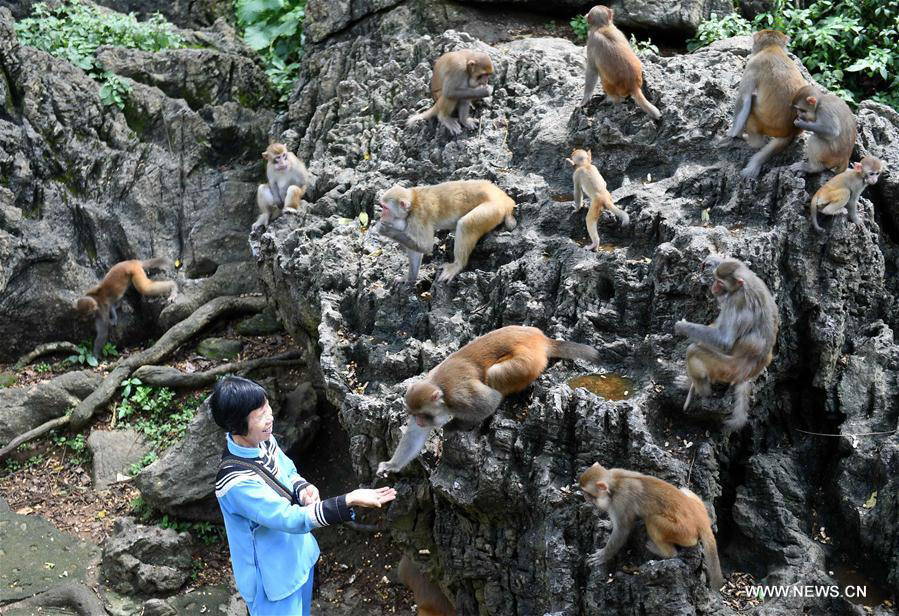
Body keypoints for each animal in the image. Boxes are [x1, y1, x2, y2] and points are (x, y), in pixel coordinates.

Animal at [372, 180, 516, 283]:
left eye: (385, 208)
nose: (381, 216)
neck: (413, 202)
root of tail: (505, 199)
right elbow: (416, 251)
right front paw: (409, 278)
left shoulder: (419, 217)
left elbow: (425, 246)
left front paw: (385, 230)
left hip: (493, 209)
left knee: (466, 224)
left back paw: (457, 265)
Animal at [376, 326, 599, 476]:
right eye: (415, 415)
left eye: (423, 414)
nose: (420, 421)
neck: (441, 393)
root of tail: (540, 338)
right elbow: (415, 437)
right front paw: (391, 465)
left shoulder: (459, 397)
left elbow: (489, 402)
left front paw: (453, 426)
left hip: (528, 362)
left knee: (494, 375)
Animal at [579, 462, 724, 591]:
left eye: (588, 493)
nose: (584, 497)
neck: (614, 484)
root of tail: (701, 522)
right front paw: (608, 524)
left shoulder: (619, 501)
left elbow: (622, 530)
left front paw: (603, 556)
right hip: (697, 505)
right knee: (683, 489)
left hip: (683, 532)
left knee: (652, 520)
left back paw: (664, 552)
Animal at [674, 258, 778, 432]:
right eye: (715, 280)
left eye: (720, 283)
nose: (714, 286)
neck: (745, 283)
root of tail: (747, 374)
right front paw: (715, 259)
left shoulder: (736, 300)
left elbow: (725, 342)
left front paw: (682, 326)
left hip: (728, 369)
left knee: (694, 351)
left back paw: (703, 391)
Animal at [725, 30, 808, 179]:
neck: (772, 48)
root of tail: (791, 130)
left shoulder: (753, 64)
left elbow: (743, 98)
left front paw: (732, 133)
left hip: (762, 123)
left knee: (751, 101)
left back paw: (751, 141)